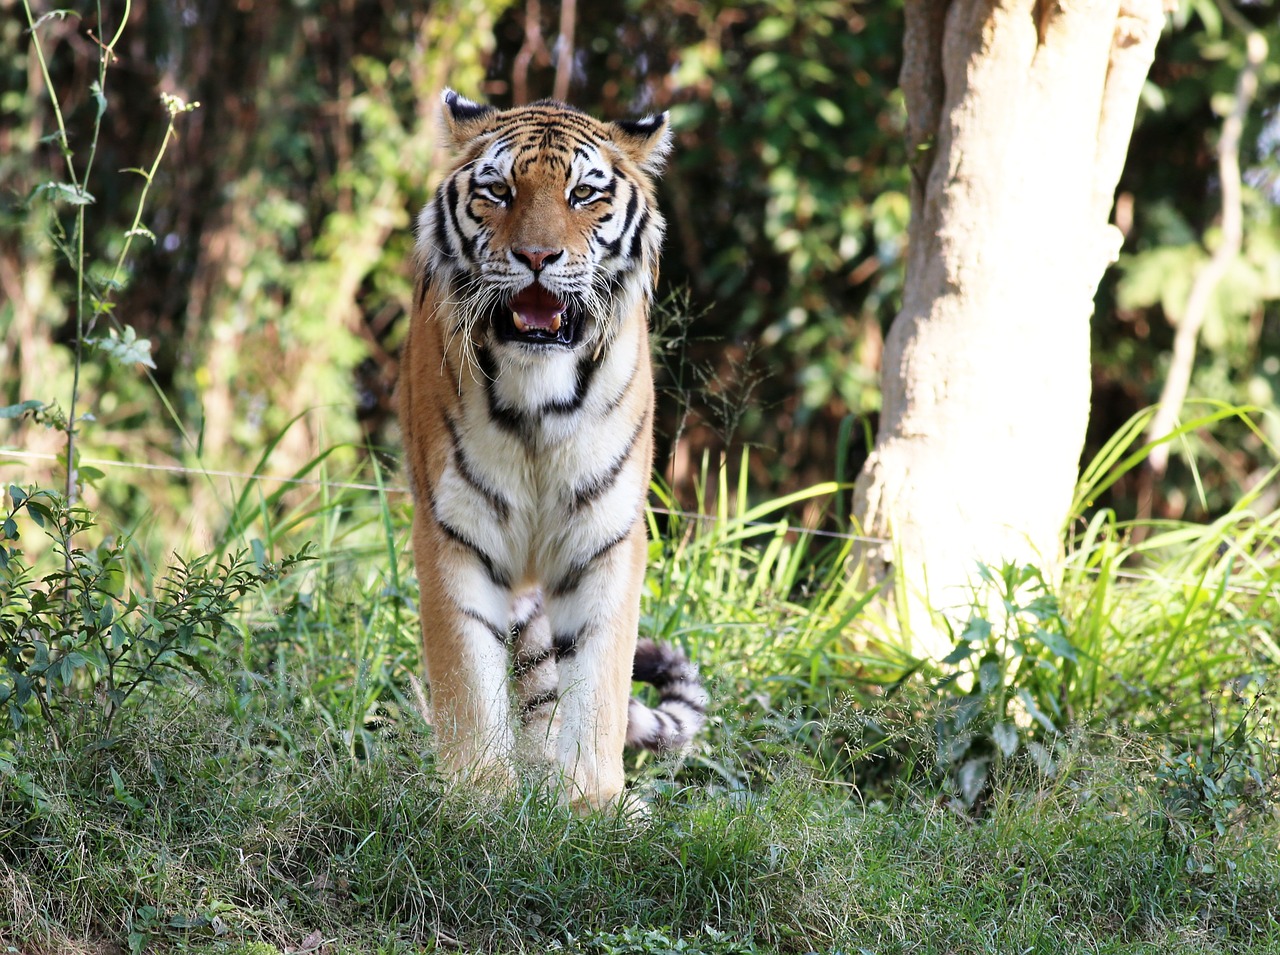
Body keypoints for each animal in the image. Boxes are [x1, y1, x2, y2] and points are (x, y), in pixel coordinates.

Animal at [396, 89, 711, 809]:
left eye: (583, 194)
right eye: (499, 190)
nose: (537, 257)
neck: (538, 395)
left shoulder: (606, 535)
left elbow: (598, 682)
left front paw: (592, 803)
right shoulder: (454, 531)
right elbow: (468, 678)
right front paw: (479, 798)